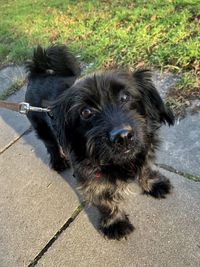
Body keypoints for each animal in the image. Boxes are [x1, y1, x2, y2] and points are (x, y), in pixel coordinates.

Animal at [25, 45, 175, 242]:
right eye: (86, 112)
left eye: (125, 97)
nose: (122, 136)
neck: (119, 162)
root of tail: (38, 71)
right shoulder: (93, 178)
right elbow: (105, 200)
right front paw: (115, 223)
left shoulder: (143, 149)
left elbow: (145, 169)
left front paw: (153, 184)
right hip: (41, 126)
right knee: (50, 144)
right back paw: (58, 161)